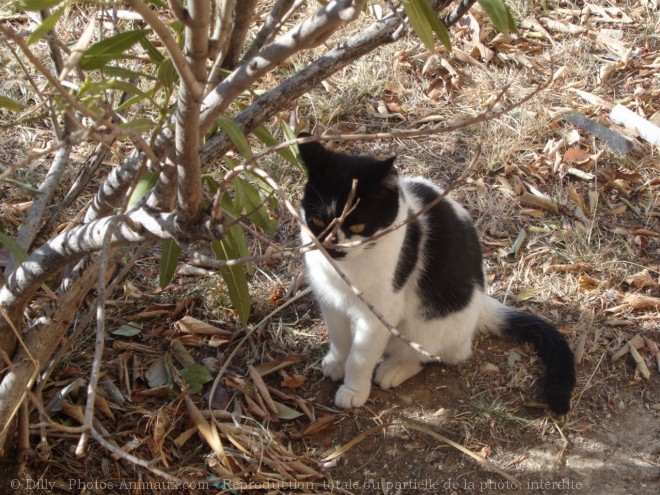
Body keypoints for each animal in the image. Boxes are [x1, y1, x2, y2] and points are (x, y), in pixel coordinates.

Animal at [296, 135, 576, 414]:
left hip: (428, 323)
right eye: (318, 222)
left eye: (357, 227)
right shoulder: (331, 301)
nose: (333, 248)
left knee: (433, 354)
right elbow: (339, 338)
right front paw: (336, 363)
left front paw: (353, 390)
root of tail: (481, 304)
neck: (346, 269)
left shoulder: (379, 313)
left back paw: (395, 368)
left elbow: (361, 356)